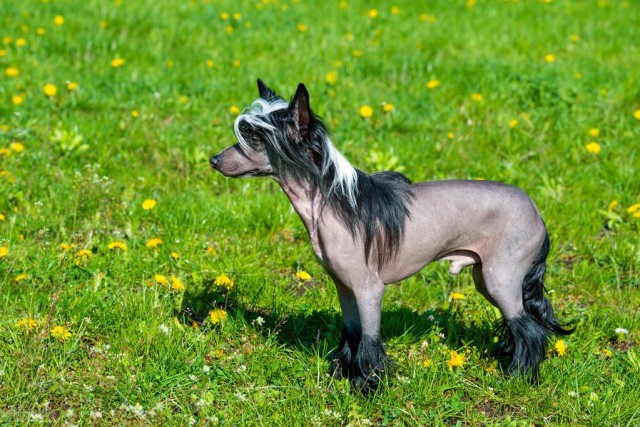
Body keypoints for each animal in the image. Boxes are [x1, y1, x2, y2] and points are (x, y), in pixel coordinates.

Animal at [209, 80, 568, 394]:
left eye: (254, 137)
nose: (213, 160)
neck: (331, 202)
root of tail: (536, 210)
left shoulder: (369, 289)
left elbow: (369, 341)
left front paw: (367, 387)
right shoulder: (345, 287)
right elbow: (352, 334)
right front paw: (344, 374)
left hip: (500, 277)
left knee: (529, 329)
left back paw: (520, 375)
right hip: (486, 277)